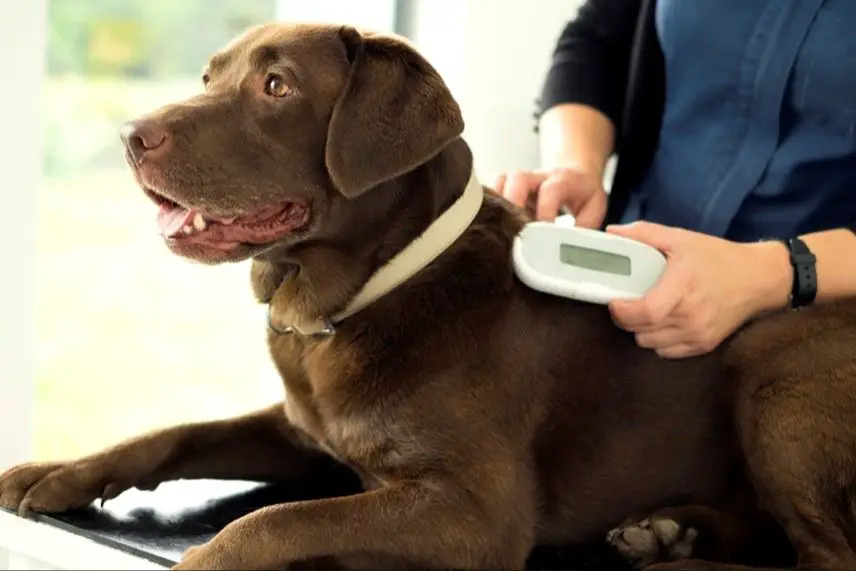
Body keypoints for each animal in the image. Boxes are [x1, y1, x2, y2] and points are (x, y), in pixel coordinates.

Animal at [5, 20, 856, 568]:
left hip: (771, 368)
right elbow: (175, 432)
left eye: (277, 85)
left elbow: (271, 523)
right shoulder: (305, 429)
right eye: (211, 76)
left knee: (827, 557)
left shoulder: (473, 512)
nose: (129, 136)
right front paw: (57, 471)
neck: (363, 298)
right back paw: (669, 532)